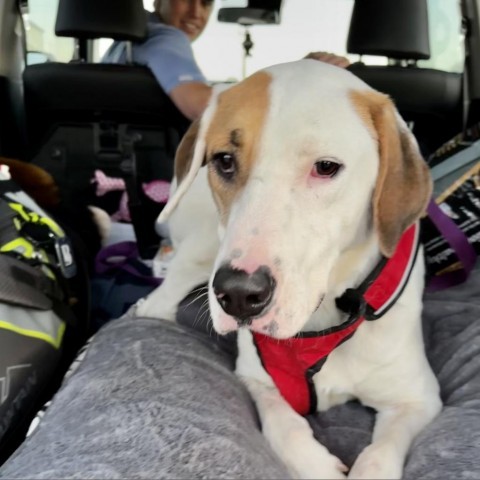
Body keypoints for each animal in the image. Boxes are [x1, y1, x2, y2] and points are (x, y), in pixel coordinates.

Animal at [137, 61, 440, 480]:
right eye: (224, 161)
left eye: (326, 167)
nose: (239, 295)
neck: (326, 320)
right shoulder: (256, 377)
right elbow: (286, 427)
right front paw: (318, 465)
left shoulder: (418, 398)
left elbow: (378, 457)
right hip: (202, 249)